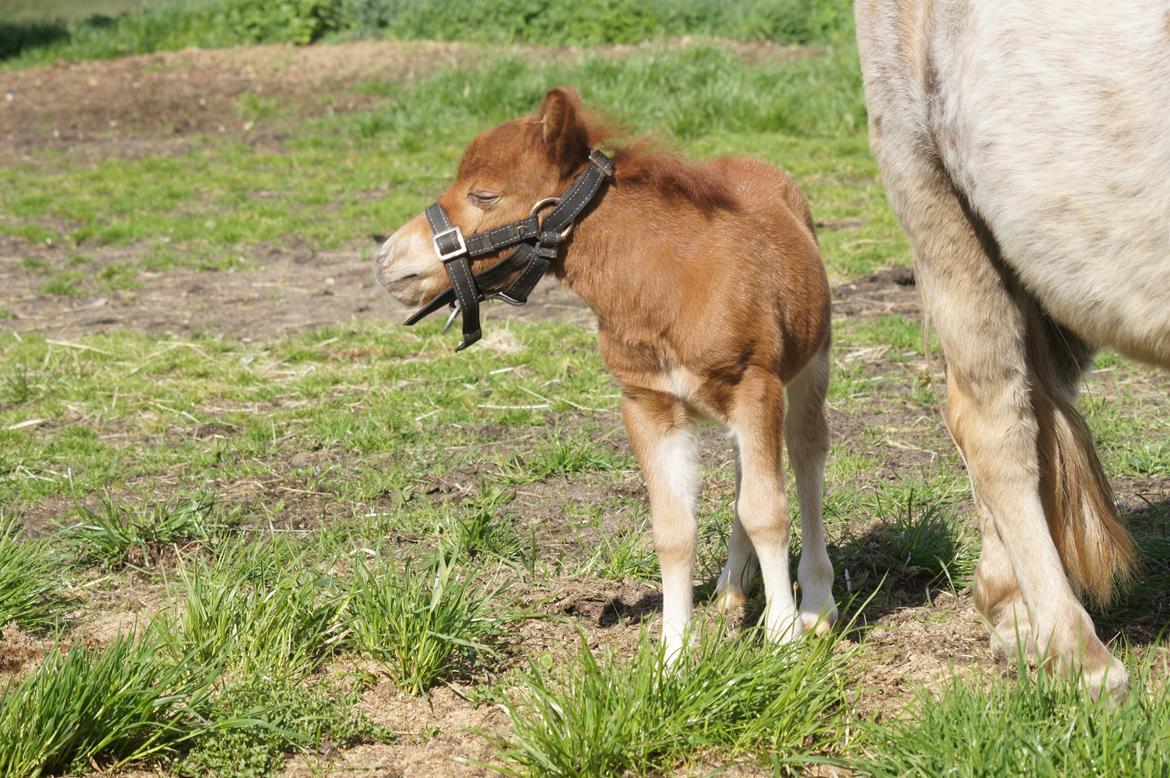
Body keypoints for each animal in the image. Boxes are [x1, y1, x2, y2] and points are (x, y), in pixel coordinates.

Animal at [374, 87, 833, 659]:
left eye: (484, 195)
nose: (388, 260)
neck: (666, 281)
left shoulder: (756, 386)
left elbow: (768, 511)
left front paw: (786, 640)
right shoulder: (647, 403)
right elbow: (674, 529)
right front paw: (673, 659)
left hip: (808, 368)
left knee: (806, 453)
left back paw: (818, 603)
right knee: (742, 472)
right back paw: (731, 587)